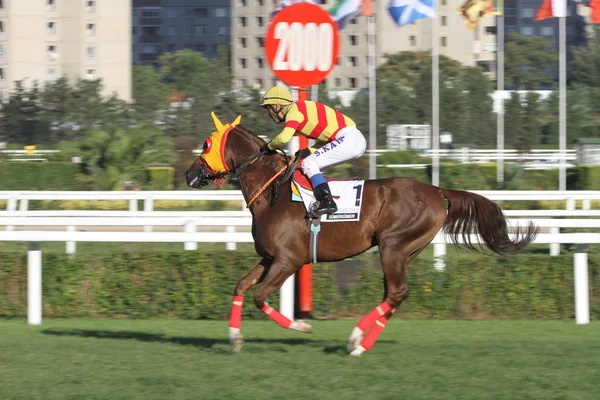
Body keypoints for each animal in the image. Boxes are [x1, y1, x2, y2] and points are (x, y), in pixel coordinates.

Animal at [184, 112, 540, 356]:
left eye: (205, 144)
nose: (189, 174)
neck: (274, 192)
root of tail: (438, 191)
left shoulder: (289, 260)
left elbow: (259, 297)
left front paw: (301, 325)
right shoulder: (270, 257)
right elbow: (242, 286)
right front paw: (234, 338)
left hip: (393, 246)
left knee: (396, 293)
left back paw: (356, 340)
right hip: (404, 251)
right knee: (394, 295)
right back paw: (359, 341)